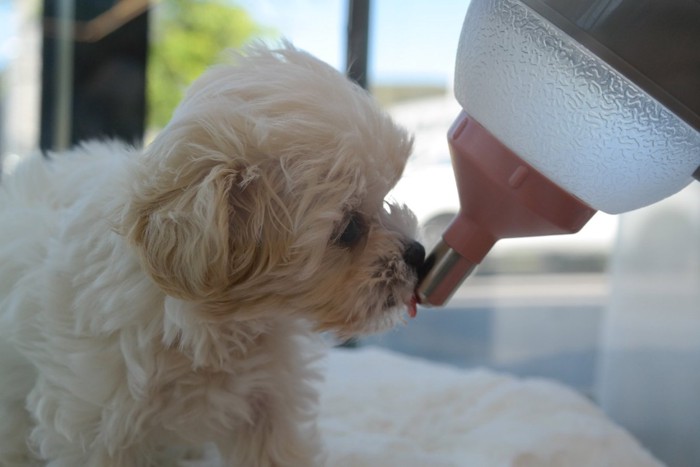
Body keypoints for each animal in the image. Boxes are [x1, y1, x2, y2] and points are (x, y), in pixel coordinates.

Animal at [0, 44, 422, 467]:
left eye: (386, 196)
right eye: (349, 229)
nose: (417, 253)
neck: (219, 324)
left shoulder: (270, 398)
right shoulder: (95, 418)